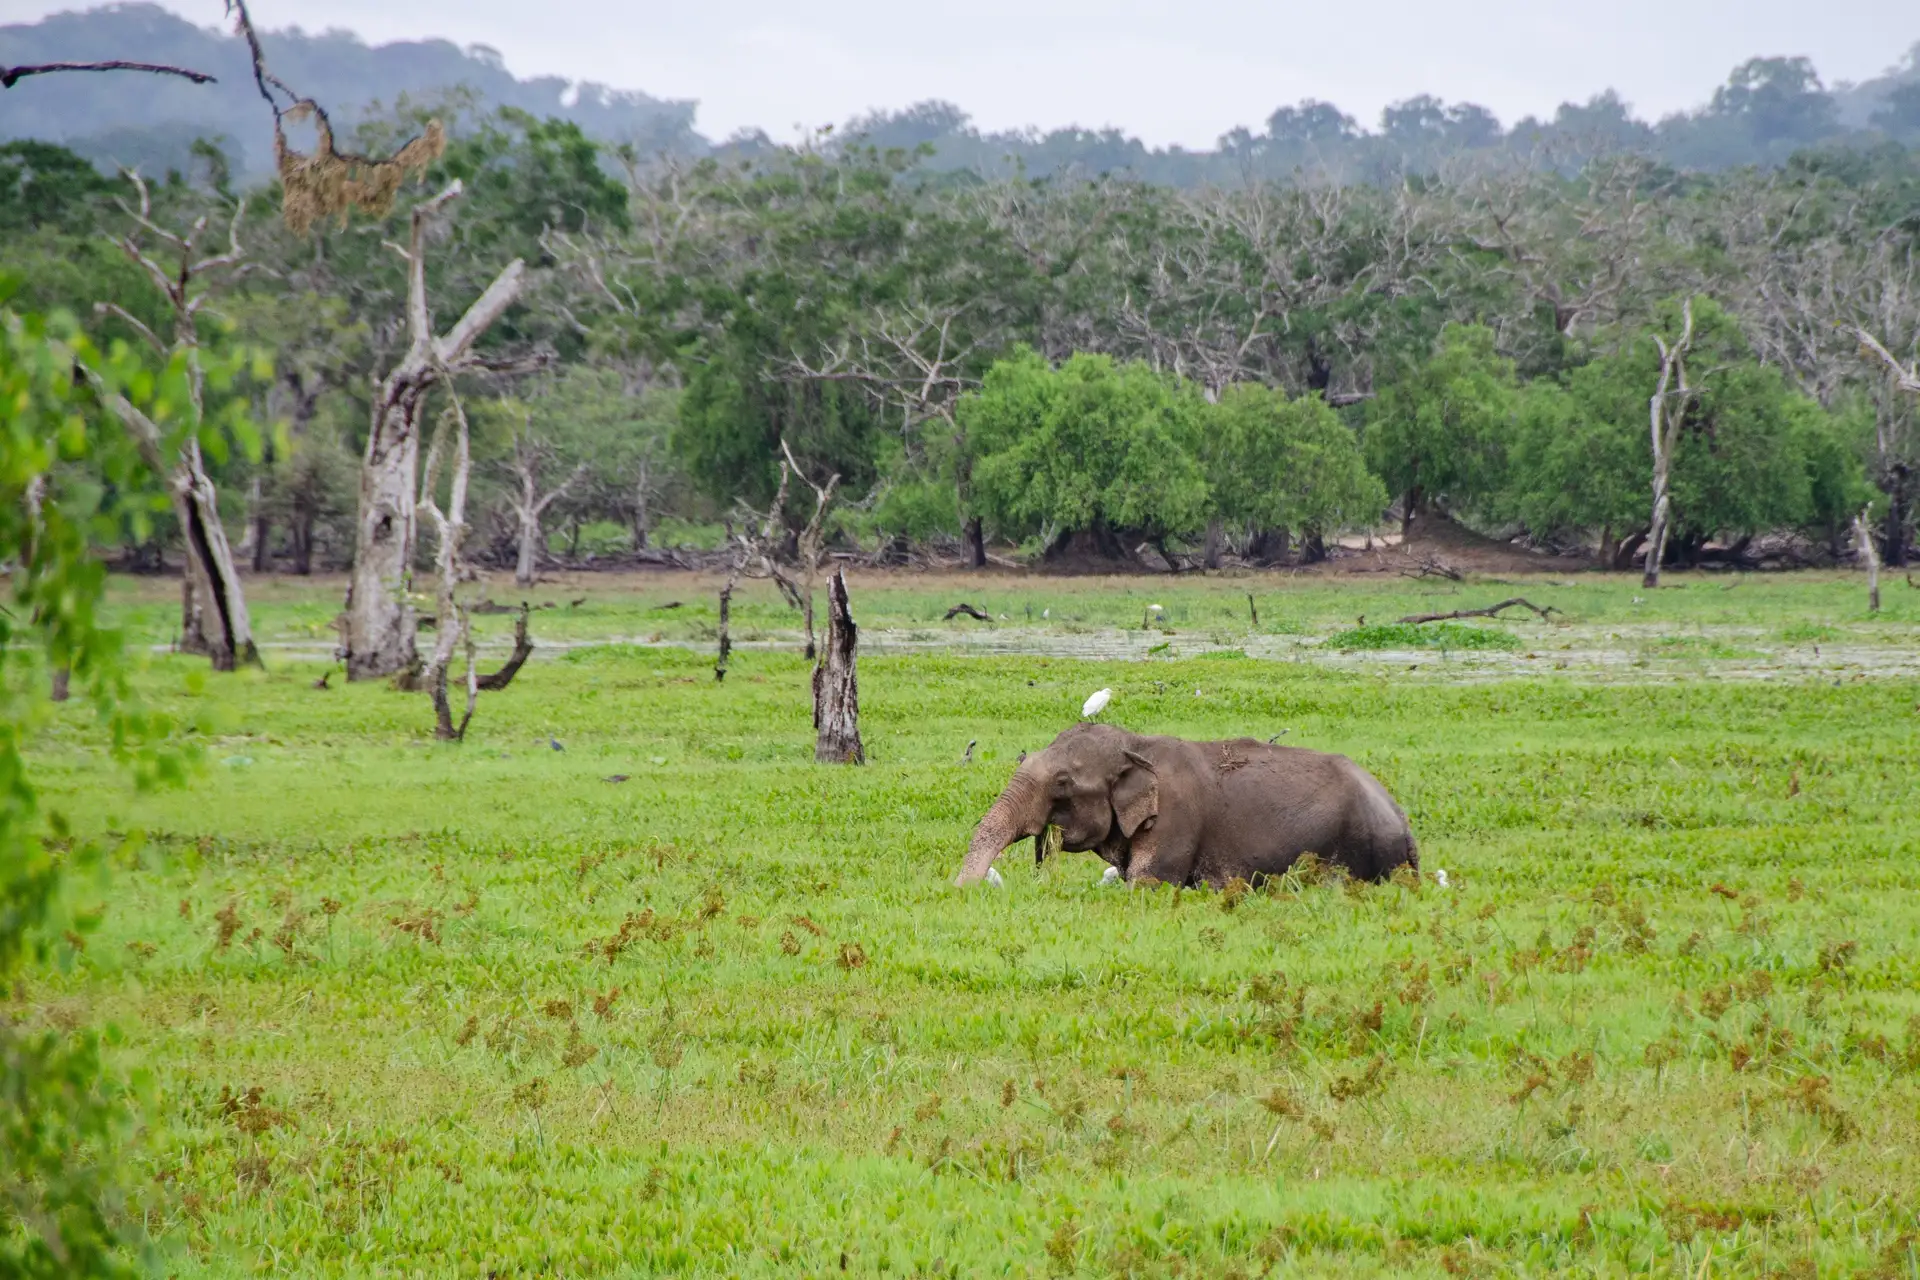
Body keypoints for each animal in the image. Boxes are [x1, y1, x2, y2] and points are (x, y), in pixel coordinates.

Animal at [954, 723, 1416, 889]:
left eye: (1063, 782)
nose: (964, 891)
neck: (1136, 744)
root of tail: (1402, 819)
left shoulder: (1176, 819)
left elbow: (1150, 882)